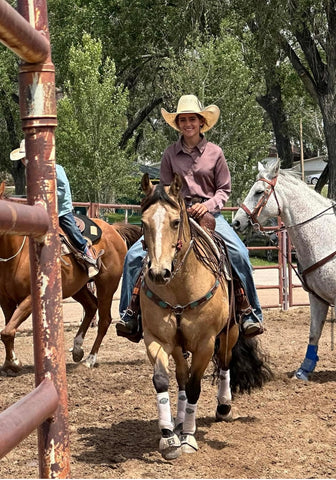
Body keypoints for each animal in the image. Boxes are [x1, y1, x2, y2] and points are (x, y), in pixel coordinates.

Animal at [0, 182, 141, 374]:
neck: (16, 256)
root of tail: (114, 230)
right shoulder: (6, 301)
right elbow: (8, 330)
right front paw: (10, 362)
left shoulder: (30, 298)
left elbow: (7, 331)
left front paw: (13, 363)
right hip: (77, 287)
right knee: (91, 306)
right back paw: (77, 348)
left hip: (107, 285)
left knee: (104, 320)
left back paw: (90, 359)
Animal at [138, 174, 272, 460]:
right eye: (143, 223)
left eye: (175, 222)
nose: (158, 273)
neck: (180, 287)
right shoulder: (157, 339)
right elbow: (163, 380)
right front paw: (169, 437)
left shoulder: (205, 343)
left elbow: (194, 387)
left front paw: (188, 437)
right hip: (179, 345)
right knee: (181, 375)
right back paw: (179, 420)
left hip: (231, 332)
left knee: (224, 364)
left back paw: (223, 407)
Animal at [231, 159, 336, 380]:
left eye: (259, 192)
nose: (236, 221)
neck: (327, 237)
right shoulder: (317, 298)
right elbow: (314, 332)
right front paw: (304, 370)